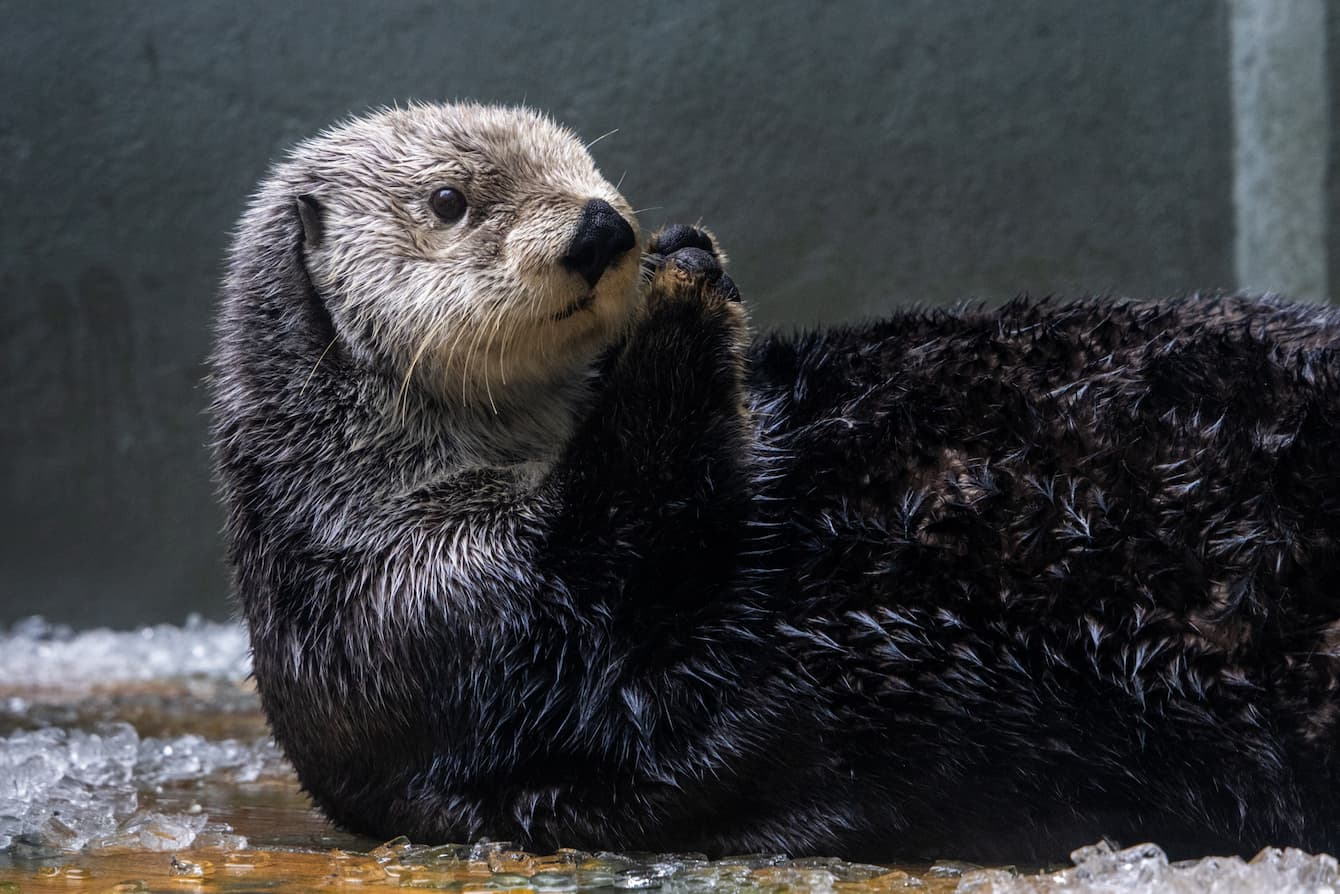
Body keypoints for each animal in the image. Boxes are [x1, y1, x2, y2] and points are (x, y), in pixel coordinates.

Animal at [209, 101, 1340, 863]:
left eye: (586, 165)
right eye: (450, 201)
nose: (603, 227)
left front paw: (688, 263)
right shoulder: (423, 617)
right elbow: (632, 560)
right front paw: (679, 301)